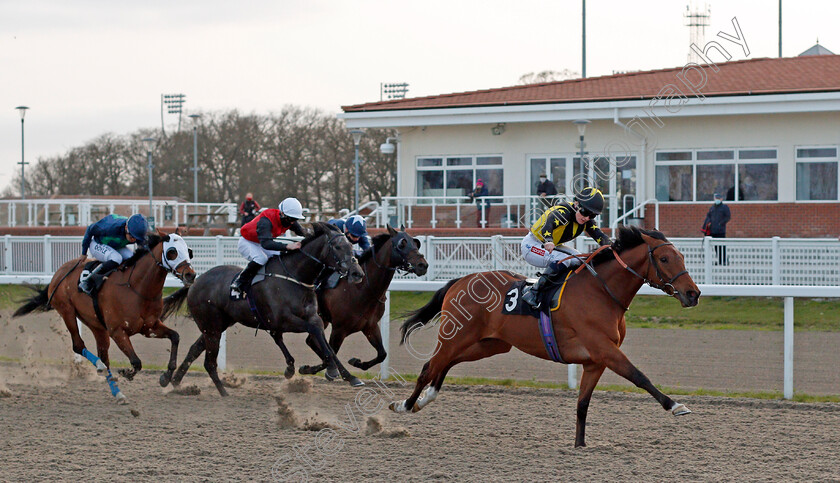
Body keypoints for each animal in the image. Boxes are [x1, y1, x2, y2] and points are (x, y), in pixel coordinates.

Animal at [12, 233, 196, 402]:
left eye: (189, 251)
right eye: (172, 252)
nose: (191, 275)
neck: (136, 287)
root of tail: (58, 273)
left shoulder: (149, 327)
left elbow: (175, 337)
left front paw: (166, 376)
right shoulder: (117, 332)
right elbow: (136, 362)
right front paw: (127, 372)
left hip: (96, 325)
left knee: (103, 355)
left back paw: (117, 393)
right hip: (67, 312)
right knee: (79, 346)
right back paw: (100, 368)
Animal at [161, 221, 364, 396]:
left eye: (351, 246)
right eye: (337, 247)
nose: (357, 273)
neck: (294, 277)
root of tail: (194, 283)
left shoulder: (311, 317)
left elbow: (325, 342)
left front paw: (349, 376)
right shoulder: (281, 321)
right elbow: (313, 332)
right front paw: (329, 369)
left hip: (216, 325)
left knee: (195, 349)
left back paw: (175, 382)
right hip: (212, 326)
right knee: (209, 362)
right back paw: (223, 393)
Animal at [296, 225, 426, 380]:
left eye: (415, 243)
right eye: (402, 244)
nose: (422, 265)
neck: (362, 289)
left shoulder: (370, 326)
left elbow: (382, 354)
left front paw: (356, 362)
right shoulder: (339, 329)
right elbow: (332, 352)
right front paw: (328, 371)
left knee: (311, 340)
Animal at [392, 229, 704, 448]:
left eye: (682, 257)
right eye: (664, 258)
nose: (693, 293)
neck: (601, 291)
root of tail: (460, 281)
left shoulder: (596, 360)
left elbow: (582, 403)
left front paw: (579, 445)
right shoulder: (605, 350)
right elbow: (639, 376)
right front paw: (676, 406)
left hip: (491, 344)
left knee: (447, 364)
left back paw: (424, 399)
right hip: (455, 335)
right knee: (429, 367)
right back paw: (404, 405)